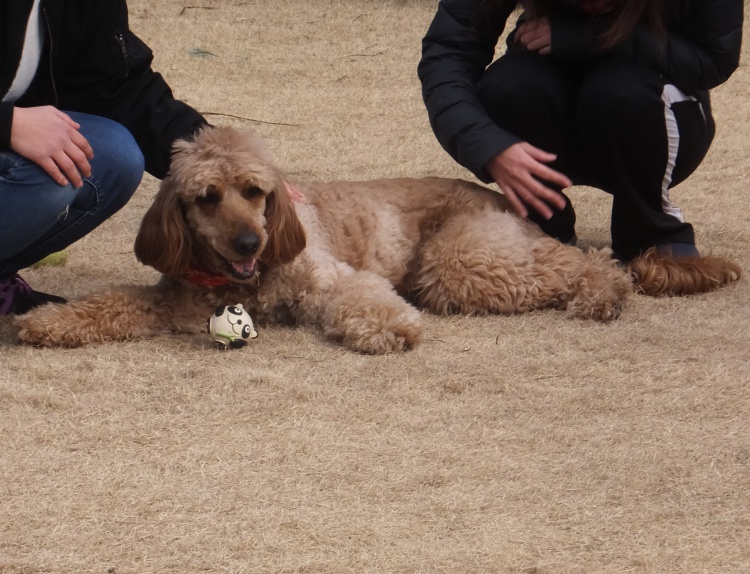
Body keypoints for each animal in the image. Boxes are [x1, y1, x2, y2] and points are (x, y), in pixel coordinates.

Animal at [14, 126, 647, 353]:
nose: (249, 243)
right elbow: (110, 305)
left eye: (256, 191)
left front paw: (392, 330)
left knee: (581, 259)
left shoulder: (329, 279)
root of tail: (499, 196)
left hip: (458, 259)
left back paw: (604, 294)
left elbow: (359, 299)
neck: (247, 280)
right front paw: (47, 323)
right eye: (207, 197)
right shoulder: (176, 304)